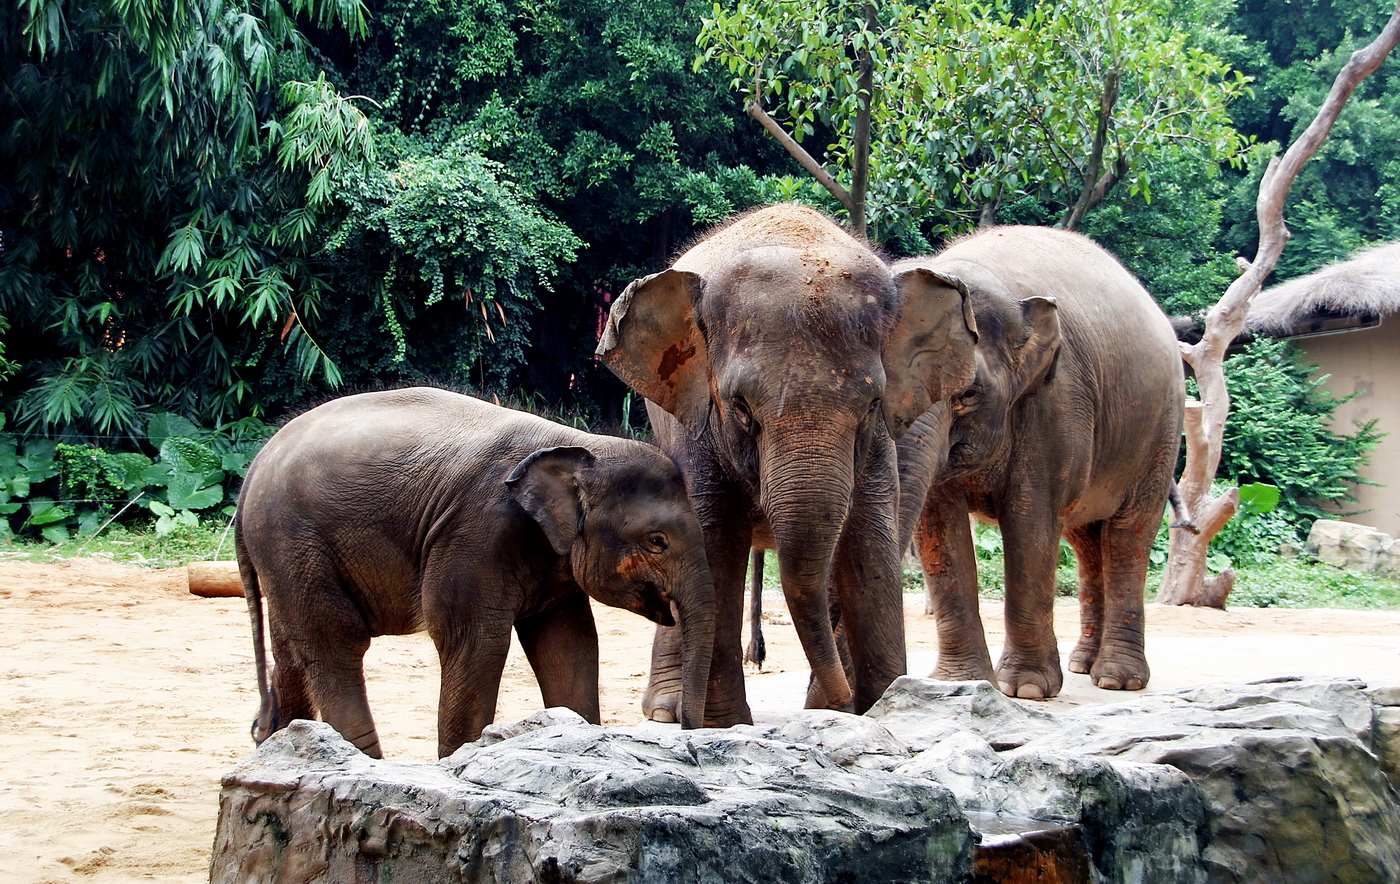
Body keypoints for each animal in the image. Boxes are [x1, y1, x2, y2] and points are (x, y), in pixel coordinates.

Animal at [236, 389, 716, 762]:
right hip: (292, 538)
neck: (578, 444)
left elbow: (568, 640)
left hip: (286, 555)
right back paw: (359, 763)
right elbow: (474, 639)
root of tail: (254, 467)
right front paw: (458, 762)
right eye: (657, 541)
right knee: (335, 641)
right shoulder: (478, 531)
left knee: (291, 646)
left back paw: (276, 745)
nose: (683, 730)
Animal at [596, 207, 980, 728]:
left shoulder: (879, 445)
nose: (842, 700)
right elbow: (713, 542)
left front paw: (885, 707)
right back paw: (665, 712)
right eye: (740, 407)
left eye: (871, 405)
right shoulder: (698, 427)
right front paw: (724, 725)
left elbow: (870, 538)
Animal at [890, 226, 1187, 697]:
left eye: (968, 393)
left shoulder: (1057, 403)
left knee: (1129, 535)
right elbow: (939, 528)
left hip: (1161, 429)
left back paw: (1116, 680)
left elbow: (1030, 522)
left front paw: (1025, 689)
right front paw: (963, 682)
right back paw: (1084, 665)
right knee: (1086, 540)